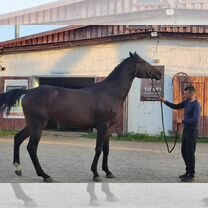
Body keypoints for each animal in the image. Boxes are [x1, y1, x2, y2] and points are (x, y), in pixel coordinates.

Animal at [0, 51, 161, 182]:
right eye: (143, 62)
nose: (158, 74)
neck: (110, 93)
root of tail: (28, 92)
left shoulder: (107, 128)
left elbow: (106, 149)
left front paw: (108, 172)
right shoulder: (102, 126)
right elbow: (98, 149)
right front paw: (95, 174)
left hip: (32, 125)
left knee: (18, 139)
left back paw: (18, 169)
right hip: (38, 125)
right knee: (32, 148)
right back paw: (45, 175)